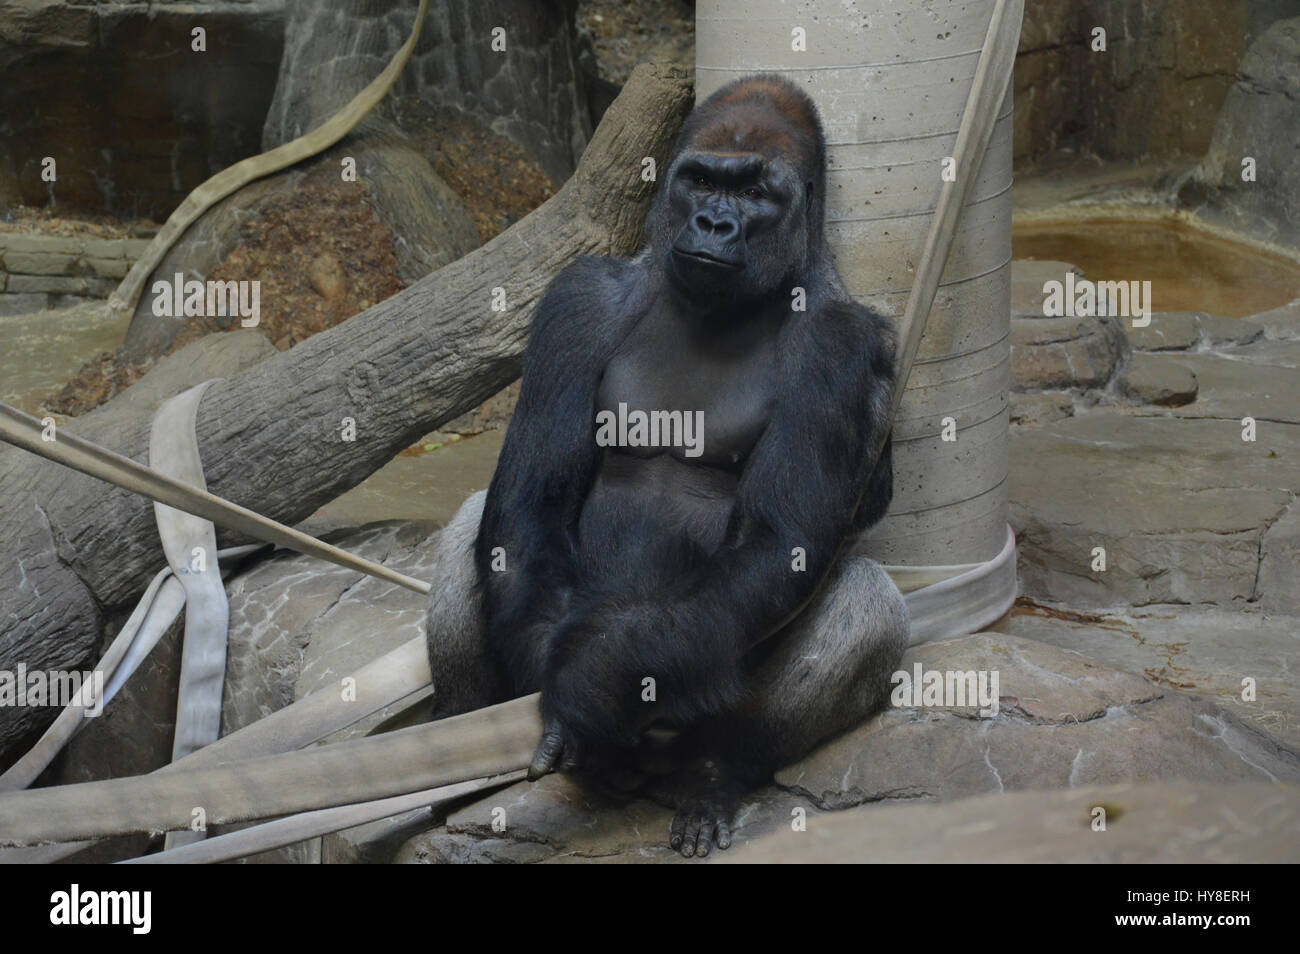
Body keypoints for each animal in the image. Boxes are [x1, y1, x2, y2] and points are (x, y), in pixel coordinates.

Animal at [425, 74, 908, 857]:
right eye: (701, 180)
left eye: (755, 193)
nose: (713, 224)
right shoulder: (581, 299)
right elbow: (534, 497)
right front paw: (545, 676)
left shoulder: (838, 342)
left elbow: (778, 543)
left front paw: (590, 686)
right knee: (477, 520)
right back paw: (462, 734)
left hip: (683, 719)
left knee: (864, 600)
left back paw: (715, 772)